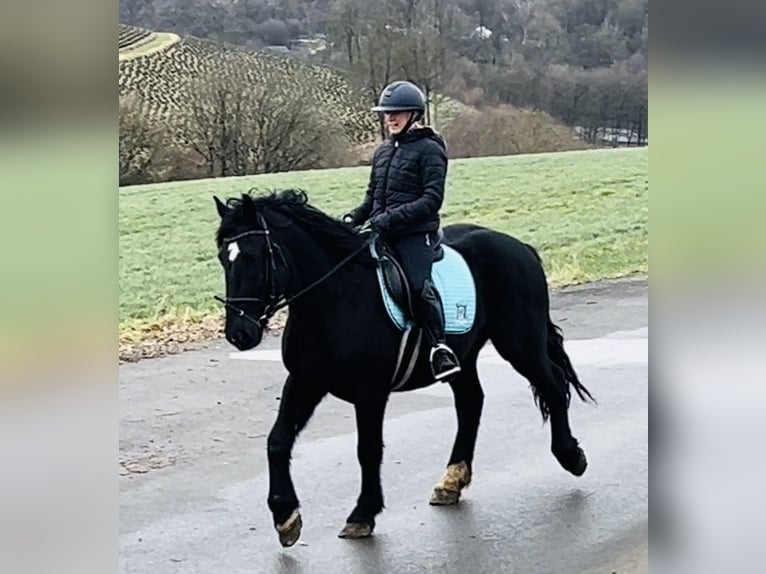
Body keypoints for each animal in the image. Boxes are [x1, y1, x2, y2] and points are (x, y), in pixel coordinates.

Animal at [213, 190, 596, 548]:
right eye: (222, 258)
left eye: (253, 255)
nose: (239, 333)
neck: (337, 296)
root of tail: (522, 248)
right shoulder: (306, 380)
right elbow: (277, 441)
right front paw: (286, 518)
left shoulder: (370, 392)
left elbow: (368, 450)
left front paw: (362, 514)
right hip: (466, 356)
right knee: (471, 402)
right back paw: (451, 480)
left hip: (520, 344)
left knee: (552, 383)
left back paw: (571, 456)